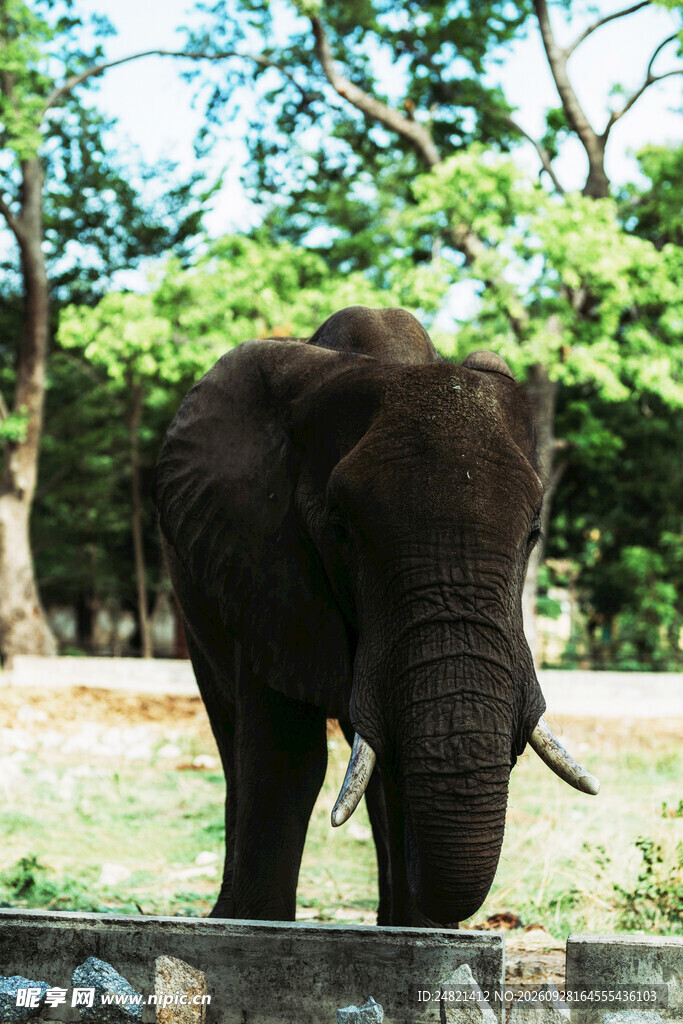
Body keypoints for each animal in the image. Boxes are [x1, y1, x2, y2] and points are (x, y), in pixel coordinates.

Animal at [152, 305, 598, 928]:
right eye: (341, 531)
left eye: (533, 534)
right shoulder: (262, 567)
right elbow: (286, 759)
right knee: (231, 731)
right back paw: (224, 917)